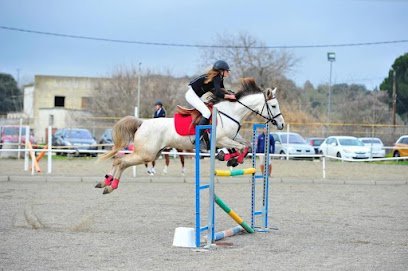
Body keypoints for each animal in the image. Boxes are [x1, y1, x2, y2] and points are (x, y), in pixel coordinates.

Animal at [97, 77, 286, 194]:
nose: (282, 124)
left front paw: (229, 159)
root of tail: (142, 123)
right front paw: (230, 158)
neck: (231, 111)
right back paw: (110, 186)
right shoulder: (221, 139)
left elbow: (246, 145)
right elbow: (242, 147)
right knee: (121, 161)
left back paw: (105, 182)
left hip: (152, 153)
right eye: (274, 106)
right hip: (146, 153)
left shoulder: (231, 138)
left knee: (118, 159)